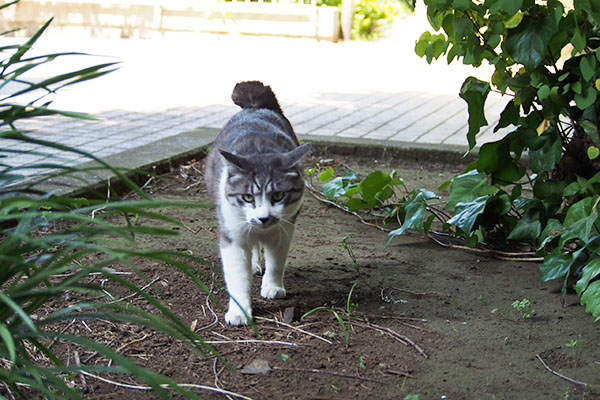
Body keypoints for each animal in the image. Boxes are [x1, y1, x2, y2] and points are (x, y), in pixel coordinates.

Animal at [205, 80, 310, 324]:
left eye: (278, 196)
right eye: (247, 197)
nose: (263, 217)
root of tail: (255, 107)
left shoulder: (285, 229)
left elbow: (276, 262)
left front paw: (273, 287)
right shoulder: (232, 235)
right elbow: (237, 276)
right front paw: (239, 311)